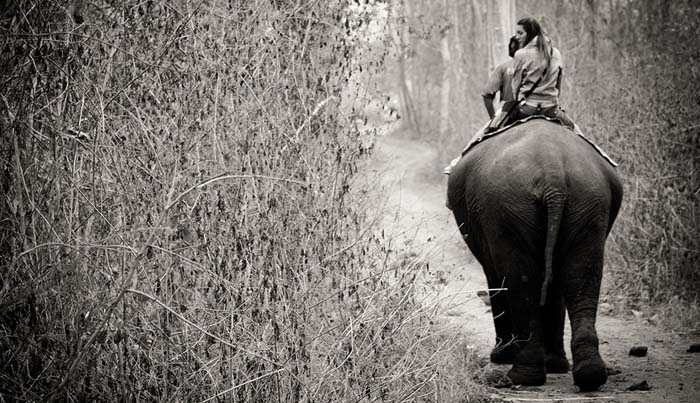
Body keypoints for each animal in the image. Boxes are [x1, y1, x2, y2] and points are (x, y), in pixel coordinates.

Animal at [446, 119, 623, 391]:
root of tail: (553, 174)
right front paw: (556, 364)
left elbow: (497, 278)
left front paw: (501, 356)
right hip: (588, 201)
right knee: (580, 276)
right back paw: (588, 374)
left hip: (508, 206)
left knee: (520, 281)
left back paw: (520, 377)